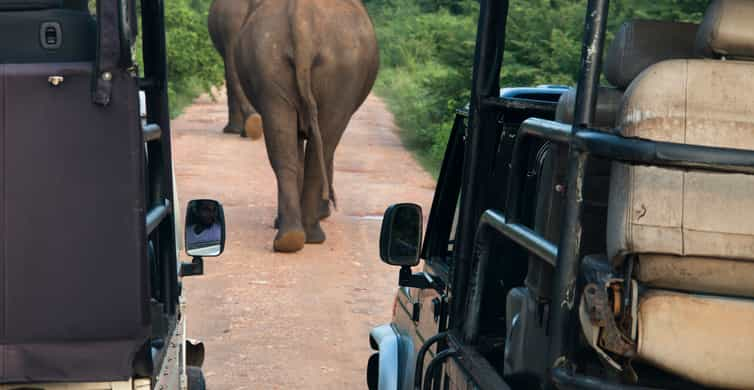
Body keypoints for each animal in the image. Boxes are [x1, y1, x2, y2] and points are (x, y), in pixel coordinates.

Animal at [231, 0, 376, 253]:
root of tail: (302, 18)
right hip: (334, 69)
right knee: (322, 145)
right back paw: (308, 235)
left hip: (271, 58)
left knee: (287, 146)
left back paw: (290, 238)